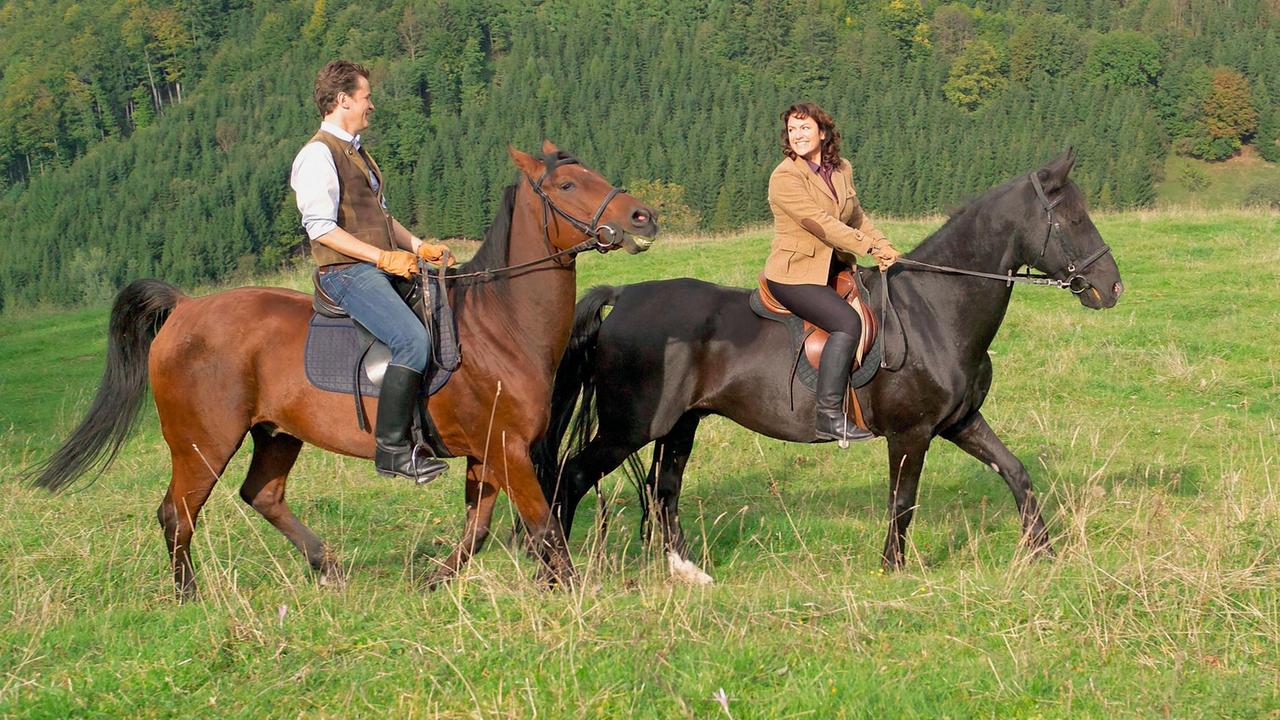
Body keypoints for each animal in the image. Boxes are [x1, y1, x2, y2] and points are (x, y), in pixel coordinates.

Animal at [27, 140, 660, 594]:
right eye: (569, 184)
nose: (644, 217)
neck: (499, 324)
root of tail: (184, 309)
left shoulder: (487, 453)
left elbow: (480, 530)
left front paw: (436, 580)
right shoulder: (505, 447)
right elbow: (542, 524)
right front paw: (570, 591)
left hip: (276, 433)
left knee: (261, 495)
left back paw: (326, 565)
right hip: (202, 441)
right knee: (177, 513)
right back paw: (190, 597)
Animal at [535, 148, 1126, 573]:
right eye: (1073, 219)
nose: (1111, 287)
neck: (935, 309)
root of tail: (624, 297)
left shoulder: (960, 421)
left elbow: (1016, 472)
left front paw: (1043, 552)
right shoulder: (911, 434)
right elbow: (903, 502)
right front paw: (892, 568)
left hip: (680, 424)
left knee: (665, 492)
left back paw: (688, 574)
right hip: (630, 426)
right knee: (570, 478)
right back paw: (556, 570)